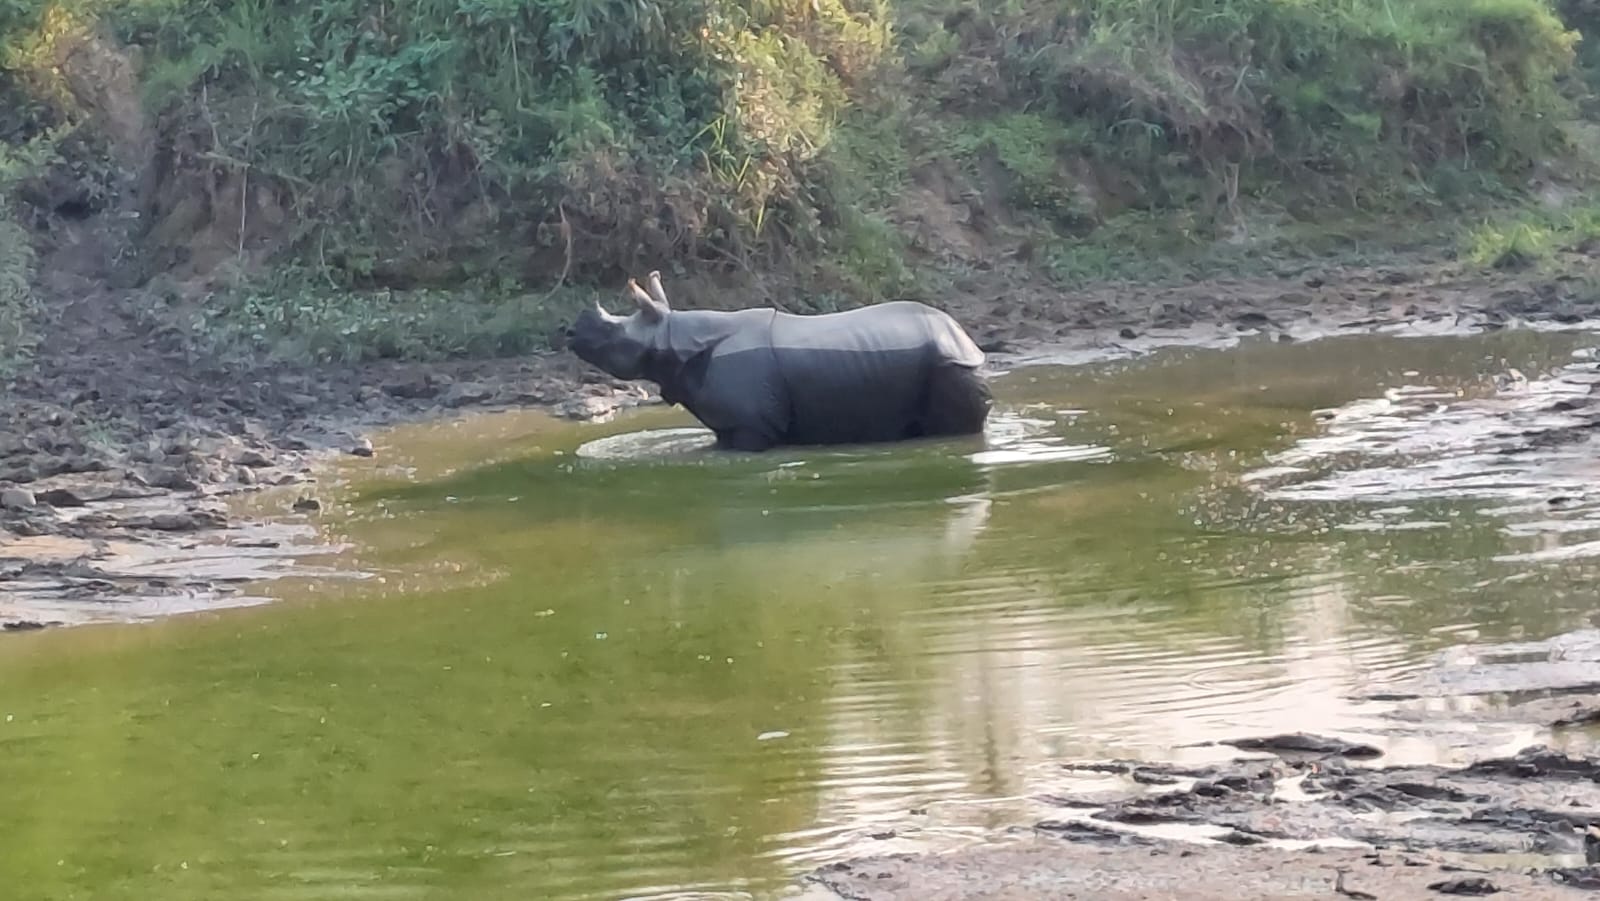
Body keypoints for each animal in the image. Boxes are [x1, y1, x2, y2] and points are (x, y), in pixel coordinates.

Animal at [563, 267, 985, 451]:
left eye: (613, 335)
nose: (568, 332)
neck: (670, 336)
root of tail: (964, 337)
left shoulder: (751, 428)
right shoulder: (729, 425)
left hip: (951, 365)